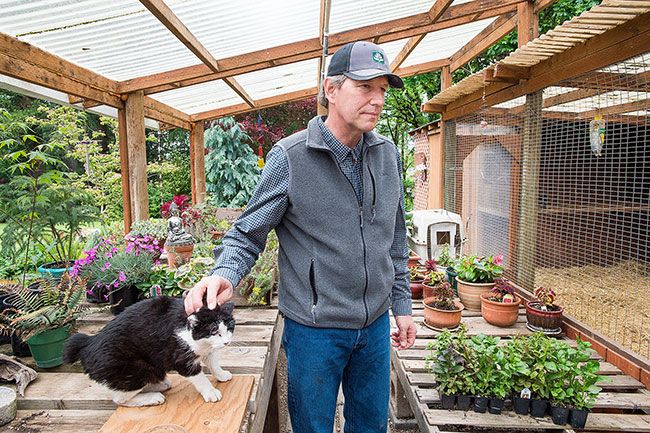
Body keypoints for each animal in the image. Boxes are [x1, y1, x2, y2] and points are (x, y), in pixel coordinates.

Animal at [63, 294, 234, 404]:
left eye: (229, 328)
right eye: (214, 331)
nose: (226, 342)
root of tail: (87, 344)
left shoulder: (206, 349)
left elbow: (213, 362)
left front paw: (221, 375)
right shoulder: (181, 357)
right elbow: (199, 377)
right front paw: (210, 392)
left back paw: (159, 385)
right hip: (135, 369)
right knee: (120, 399)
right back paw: (153, 397)